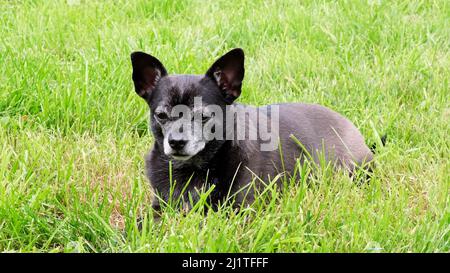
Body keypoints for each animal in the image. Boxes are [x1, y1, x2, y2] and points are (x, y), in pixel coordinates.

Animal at [129, 47, 372, 211]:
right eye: (161, 115)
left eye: (204, 116)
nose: (176, 142)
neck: (193, 167)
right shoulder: (159, 205)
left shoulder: (238, 209)